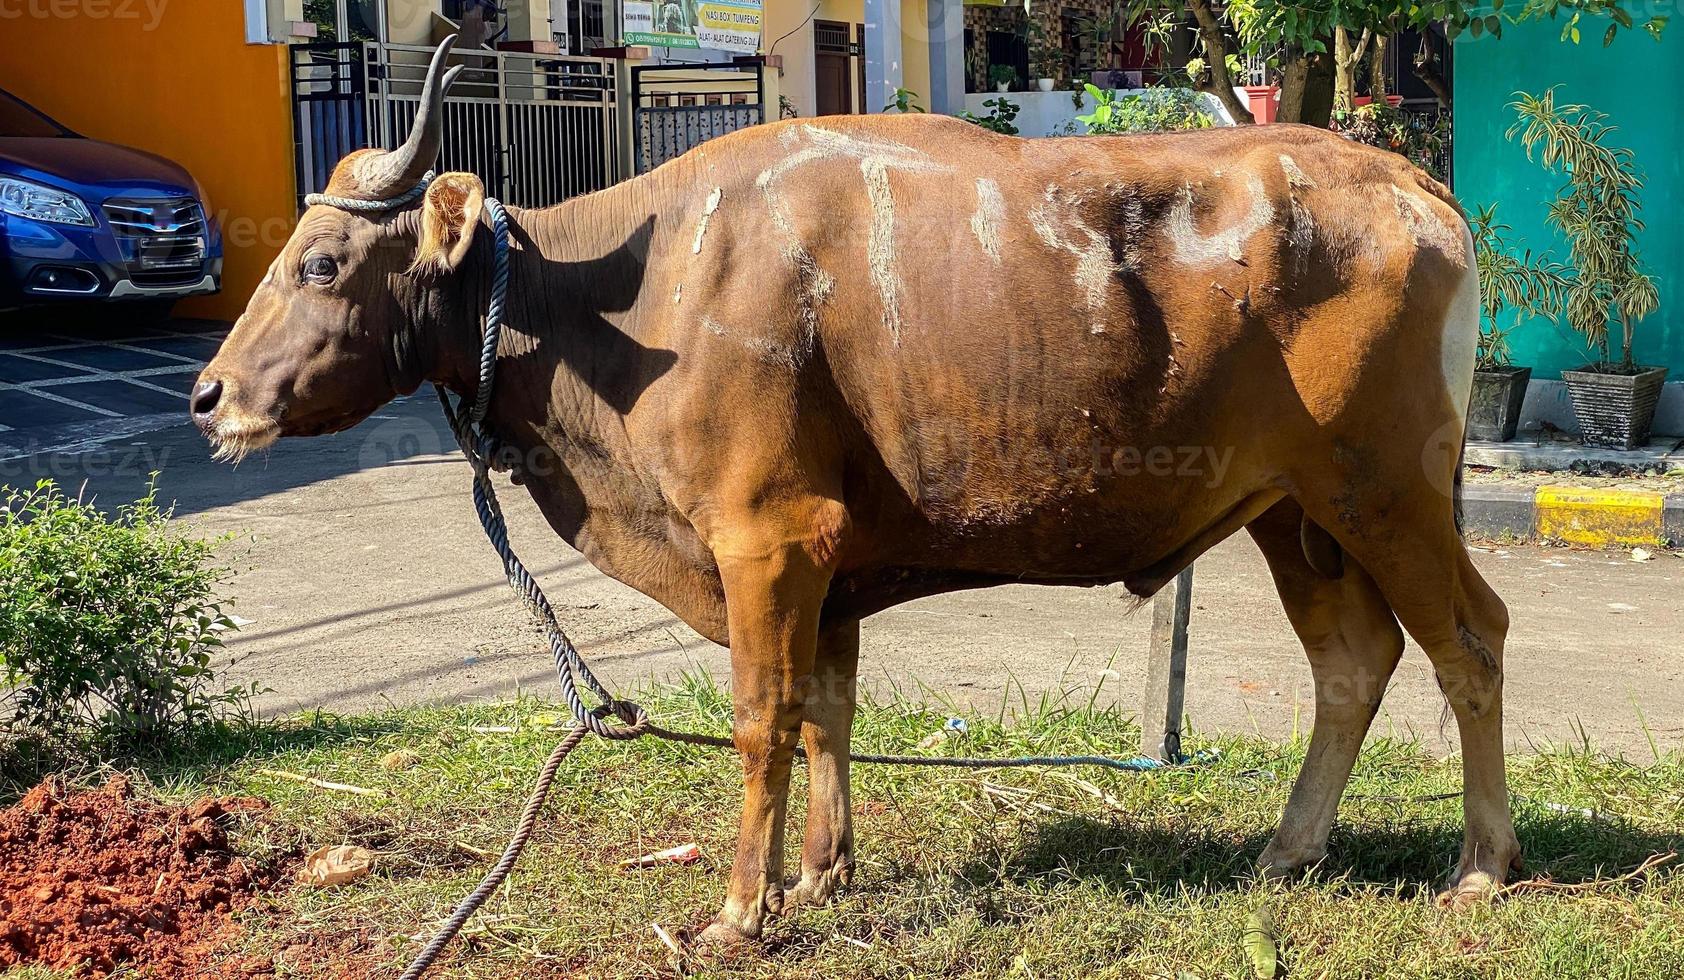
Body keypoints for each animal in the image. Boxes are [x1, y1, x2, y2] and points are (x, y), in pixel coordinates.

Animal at [193, 42, 1515, 949]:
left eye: (322, 262)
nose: (209, 395)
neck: (630, 299)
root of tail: (1404, 181)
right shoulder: (822, 560)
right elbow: (828, 707)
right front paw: (819, 870)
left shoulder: (768, 537)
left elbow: (762, 717)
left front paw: (741, 905)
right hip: (1294, 509)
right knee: (1352, 659)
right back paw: (1288, 848)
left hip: (1383, 488)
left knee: (1468, 637)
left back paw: (1482, 863)